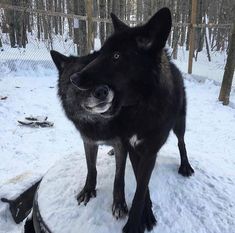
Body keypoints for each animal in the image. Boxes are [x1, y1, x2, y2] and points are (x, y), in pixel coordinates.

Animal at [50, 7, 194, 233]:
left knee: (182, 142)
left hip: (180, 123)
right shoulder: (103, 143)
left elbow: (131, 184)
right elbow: (94, 169)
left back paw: (185, 166)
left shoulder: (142, 150)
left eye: (116, 56)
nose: (76, 79)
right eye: (100, 55)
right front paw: (89, 190)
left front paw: (130, 215)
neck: (139, 111)